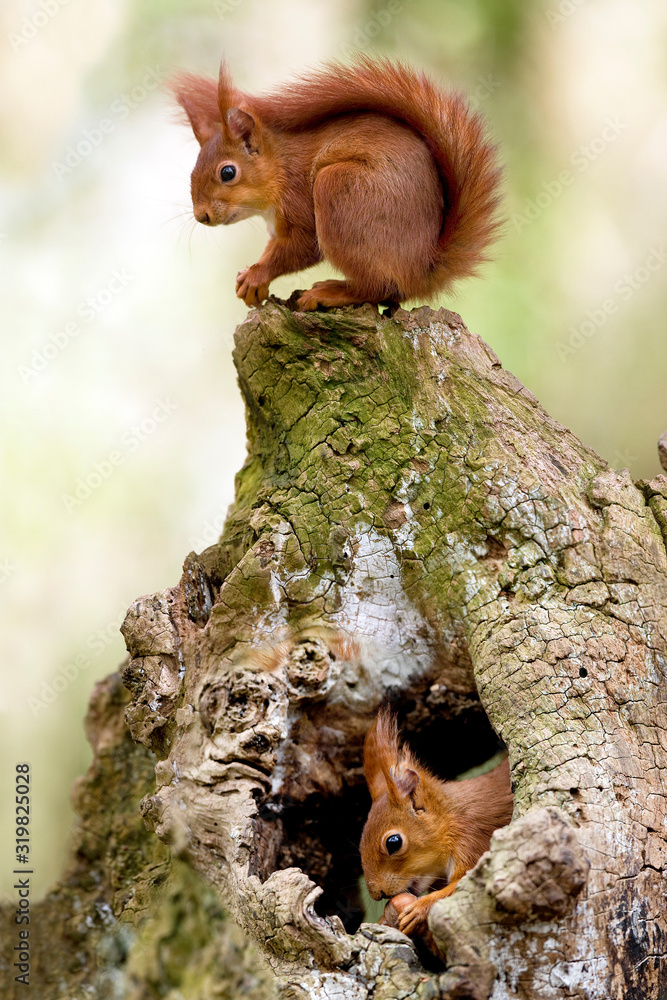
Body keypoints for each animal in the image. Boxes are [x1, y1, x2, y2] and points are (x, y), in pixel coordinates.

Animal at [172, 58, 500, 308]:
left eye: (228, 172)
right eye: (191, 171)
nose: (202, 216)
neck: (280, 168)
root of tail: (423, 271)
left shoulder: (299, 199)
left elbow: (302, 248)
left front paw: (256, 275)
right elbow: (274, 247)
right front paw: (251, 279)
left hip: (339, 190)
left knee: (380, 288)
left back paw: (332, 292)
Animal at [362, 708, 516, 932]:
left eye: (393, 842)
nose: (377, 893)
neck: (451, 819)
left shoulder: (473, 841)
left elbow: (462, 887)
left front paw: (419, 909)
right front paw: (384, 920)